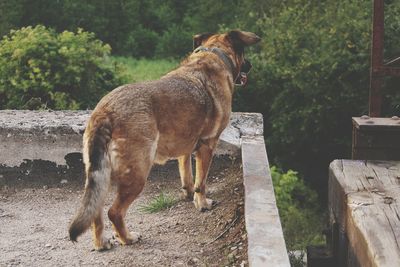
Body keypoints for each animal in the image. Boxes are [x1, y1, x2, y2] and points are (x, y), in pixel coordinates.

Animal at [69, 30, 260, 251]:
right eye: (244, 53)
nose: (250, 65)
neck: (214, 53)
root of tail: (105, 112)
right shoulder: (207, 145)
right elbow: (201, 182)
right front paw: (202, 203)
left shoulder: (186, 145)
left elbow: (187, 173)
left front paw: (188, 194)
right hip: (138, 174)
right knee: (113, 212)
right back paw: (128, 238)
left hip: (101, 175)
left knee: (96, 211)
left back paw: (101, 242)